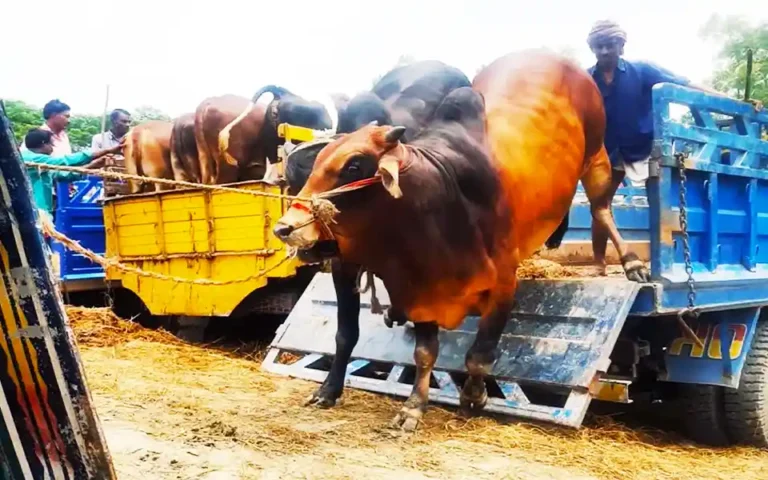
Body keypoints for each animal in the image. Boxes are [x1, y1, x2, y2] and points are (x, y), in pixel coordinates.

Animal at [272, 49, 650, 431]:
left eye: (353, 166)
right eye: (314, 163)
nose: (285, 227)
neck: (445, 193)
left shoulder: (503, 287)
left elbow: (479, 356)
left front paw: (473, 397)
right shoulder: (415, 288)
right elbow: (415, 351)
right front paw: (410, 407)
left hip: (597, 155)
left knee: (601, 209)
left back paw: (630, 263)